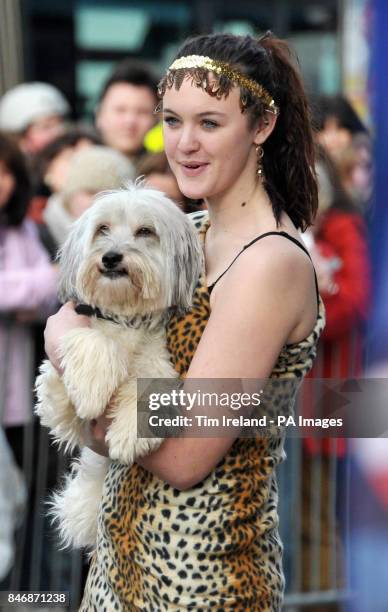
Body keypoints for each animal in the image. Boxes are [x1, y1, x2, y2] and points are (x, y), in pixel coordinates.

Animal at [34, 183, 202, 548]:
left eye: (145, 231)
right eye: (103, 229)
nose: (110, 257)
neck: (125, 319)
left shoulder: (159, 367)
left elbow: (150, 386)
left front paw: (128, 434)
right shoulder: (56, 394)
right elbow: (96, 346)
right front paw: (91, 391)